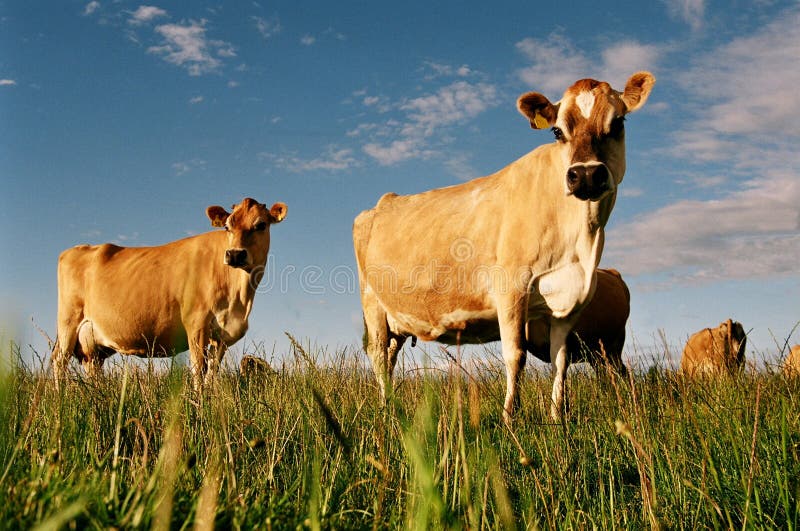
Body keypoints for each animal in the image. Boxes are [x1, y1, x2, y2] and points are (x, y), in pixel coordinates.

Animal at [51, 197, 288, 388]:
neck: (240, 299)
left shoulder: (221, 336)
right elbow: (198, 370)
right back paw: (60, 398)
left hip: (92, 344)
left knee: (92, 368)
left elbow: (212, 375)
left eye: (261, 224)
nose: (235, 254)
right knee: (59, 361)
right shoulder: (196, 323)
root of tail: (80, 248)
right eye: (227, 227)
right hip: (68, 323)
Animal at [356, 71, 656, 420]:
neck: (581, 241)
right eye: (557, 131)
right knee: (378, 354)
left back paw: (388, 405)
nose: (585, 175)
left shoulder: (571, 302)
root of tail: (384, 200)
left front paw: (557, 418)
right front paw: (510, 417)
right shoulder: (511, 287)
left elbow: (560, 360)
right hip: (373, 304)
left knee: (389, 357)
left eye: (618, 122)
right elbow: (516, 355)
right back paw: (385, 410)